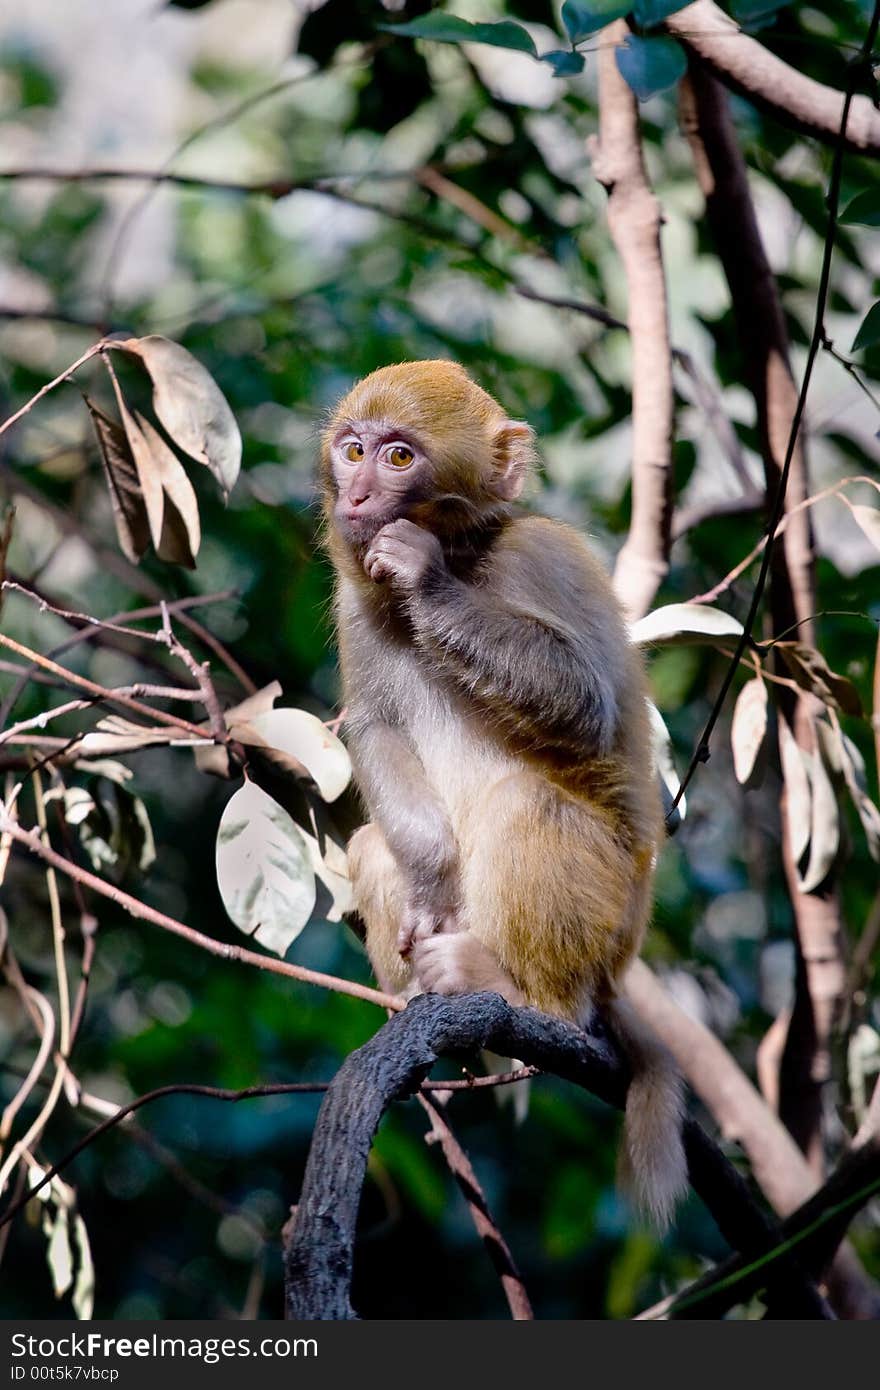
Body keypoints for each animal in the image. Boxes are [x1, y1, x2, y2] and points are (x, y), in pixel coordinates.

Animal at [321, 361, 686, 1228]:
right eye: (353, 450)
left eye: (397, 458)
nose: (357, 495)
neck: (469, 553)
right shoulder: (355, 599)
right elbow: (377, 727)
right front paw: (429, 875)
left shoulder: (542, 555)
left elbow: (588, 702)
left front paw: (425, 581)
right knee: (374, 846)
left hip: (609, 926)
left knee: (531, 805)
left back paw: (526, 998)